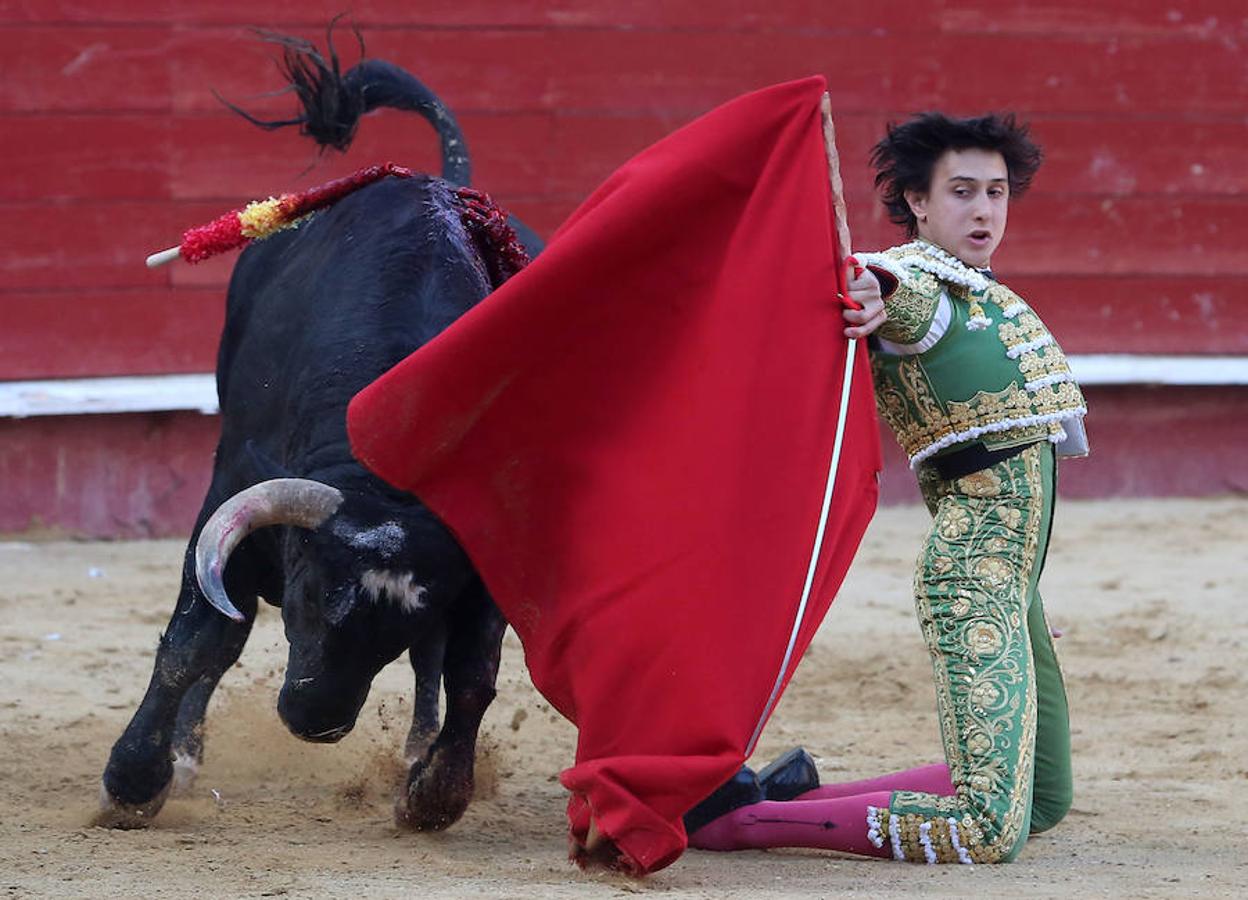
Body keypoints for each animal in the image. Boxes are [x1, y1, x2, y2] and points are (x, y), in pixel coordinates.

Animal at [97, 176, 516, 828]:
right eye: (312, 593)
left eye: (410, 617)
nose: (315, 721)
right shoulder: (230, 504)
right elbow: (195, 644)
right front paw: (133, 784)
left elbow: (470, 674)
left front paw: (432, 796)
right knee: (223, 640)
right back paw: (185, 755)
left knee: (431, 665)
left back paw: (416, 747)